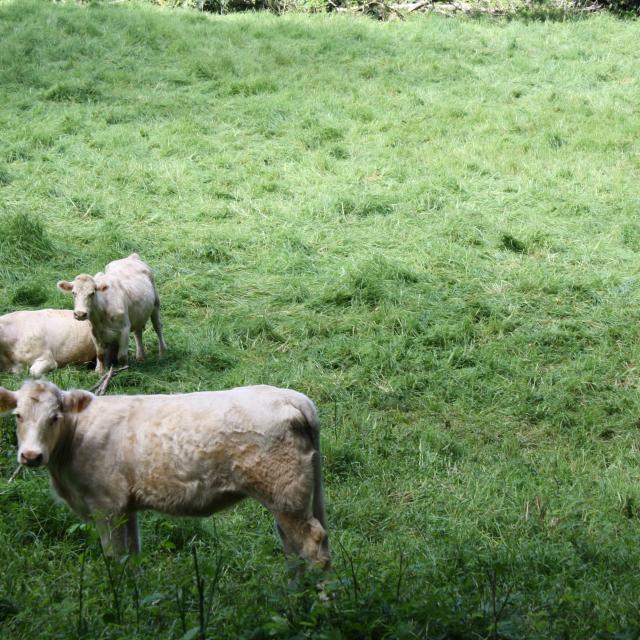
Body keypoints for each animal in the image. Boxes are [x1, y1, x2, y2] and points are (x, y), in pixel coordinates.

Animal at [3, 380, 336, 576]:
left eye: (54, 417)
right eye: (17, 415)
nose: (31, 455)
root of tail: (293, 397)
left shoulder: (105, 506)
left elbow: (115, 559)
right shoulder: (126, 507)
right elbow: (132, 557)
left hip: (286, 494)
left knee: (313, 547)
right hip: (285, 500)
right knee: (293, 550)